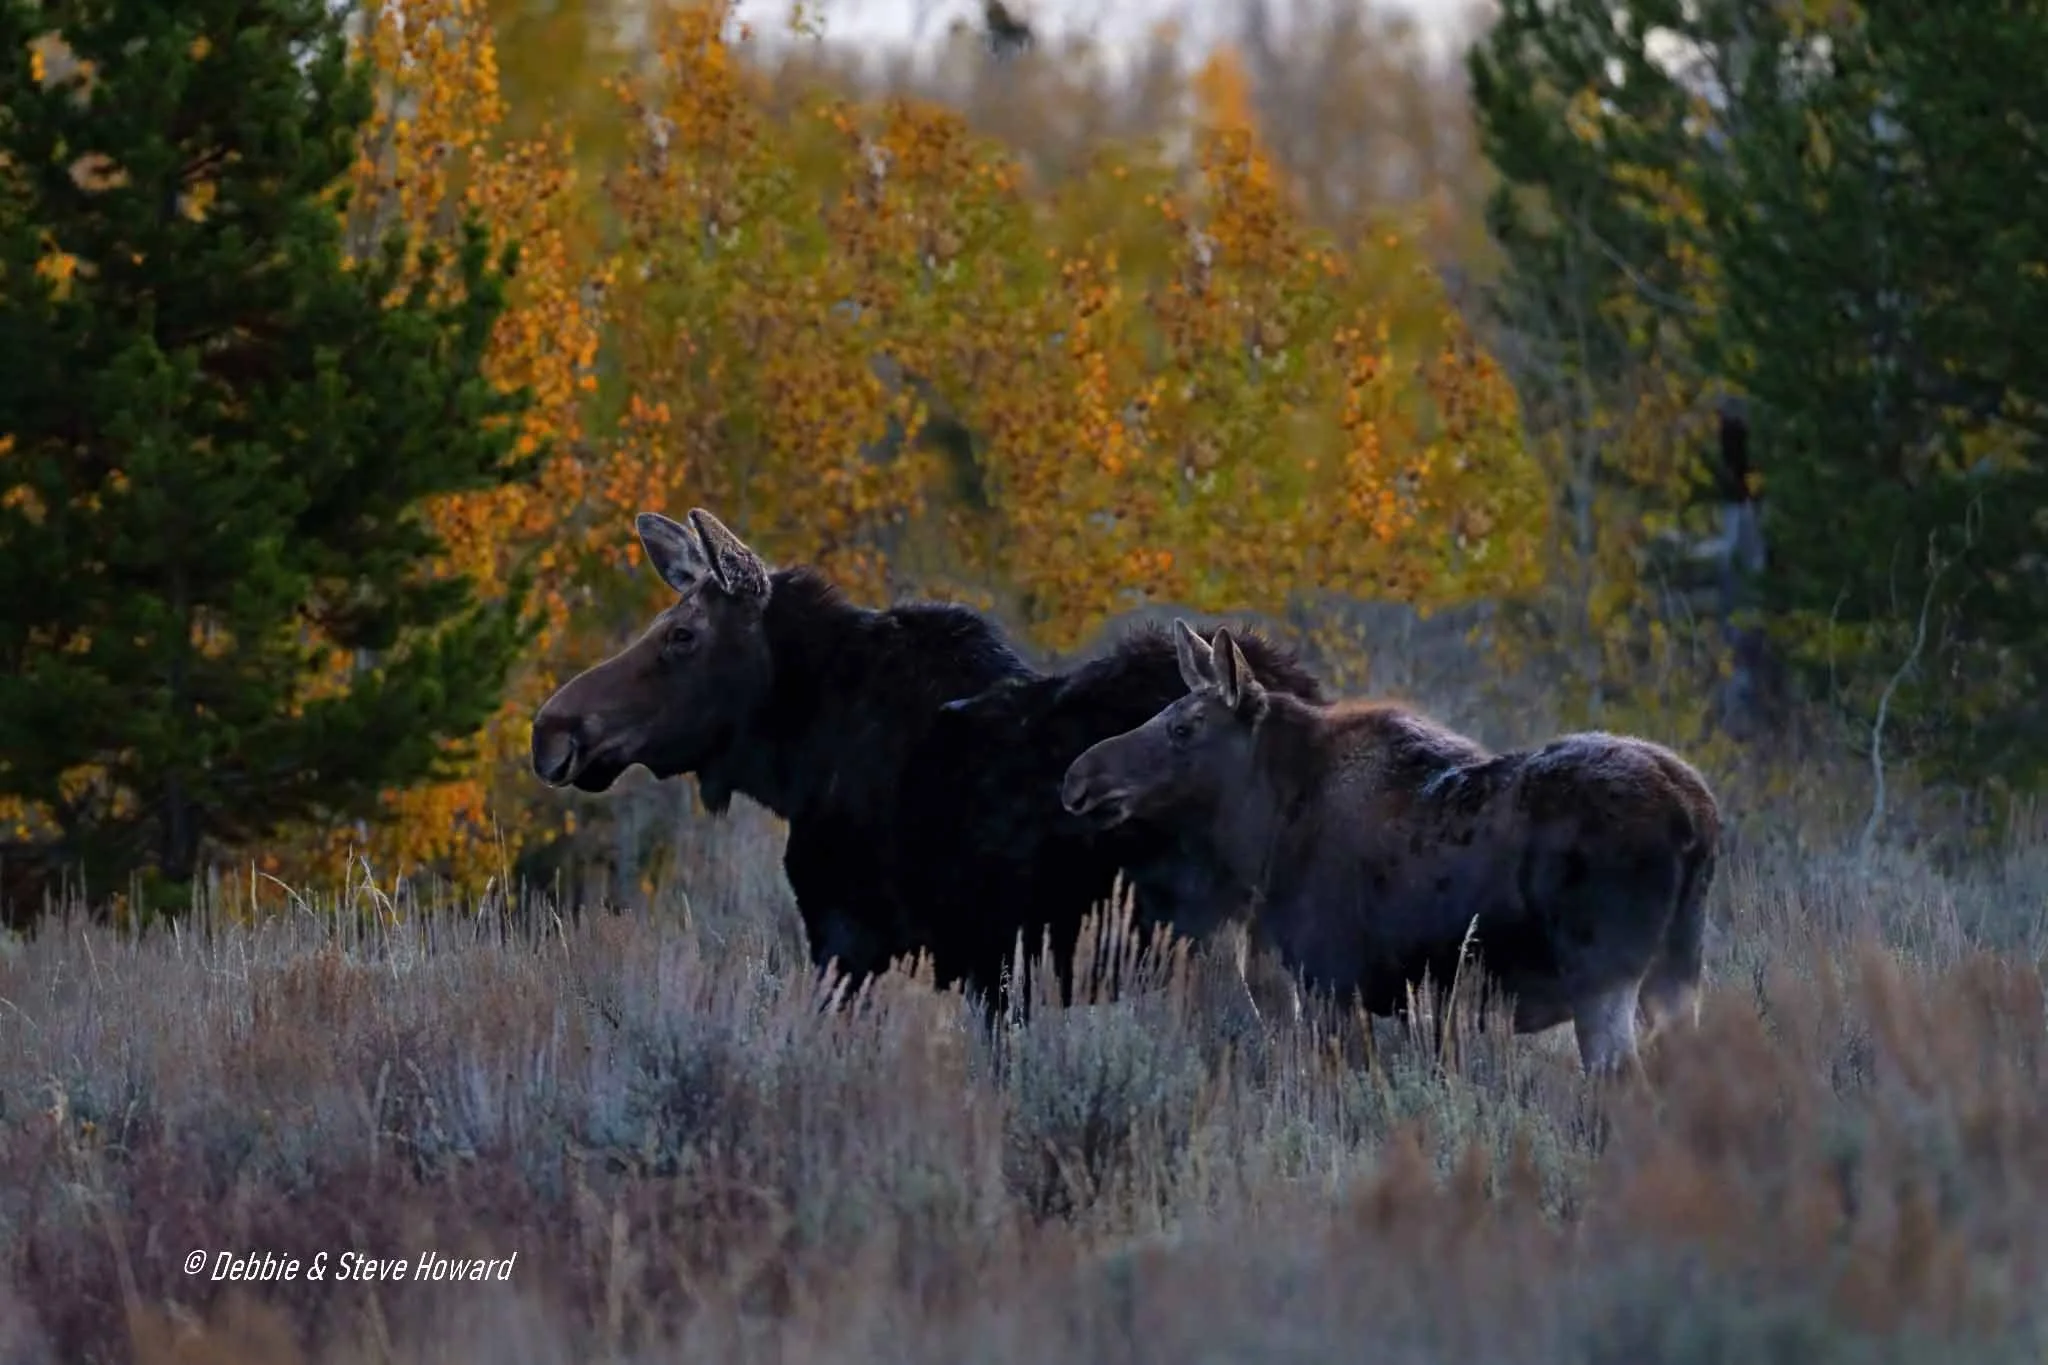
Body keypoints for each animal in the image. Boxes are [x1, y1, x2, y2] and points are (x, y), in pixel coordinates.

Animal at [1057, 619, 1722, 1076]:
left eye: (1183, 727)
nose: (1077, 778)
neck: (1266, 828)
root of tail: (1695, 816)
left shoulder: (1329, 983)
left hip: (1604, 973)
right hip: (1677, 969)